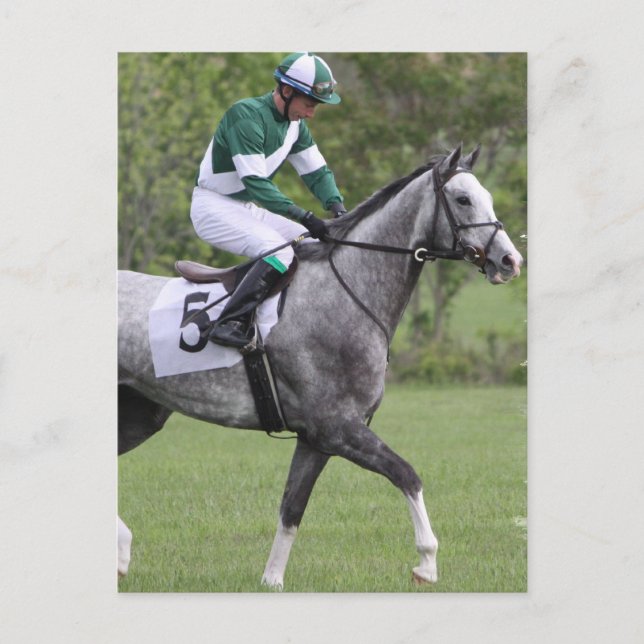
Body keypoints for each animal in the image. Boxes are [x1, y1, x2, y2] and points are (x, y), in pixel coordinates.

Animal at [117, 144, 523, 589]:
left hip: (139, 415)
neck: (348, 291)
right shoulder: (338, 428)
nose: (510, 260)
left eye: (486, 195)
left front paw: (272, 580)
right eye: (463, 199)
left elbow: (292, 509)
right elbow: (407, 475)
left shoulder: (315, 440)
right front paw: (426, 563)